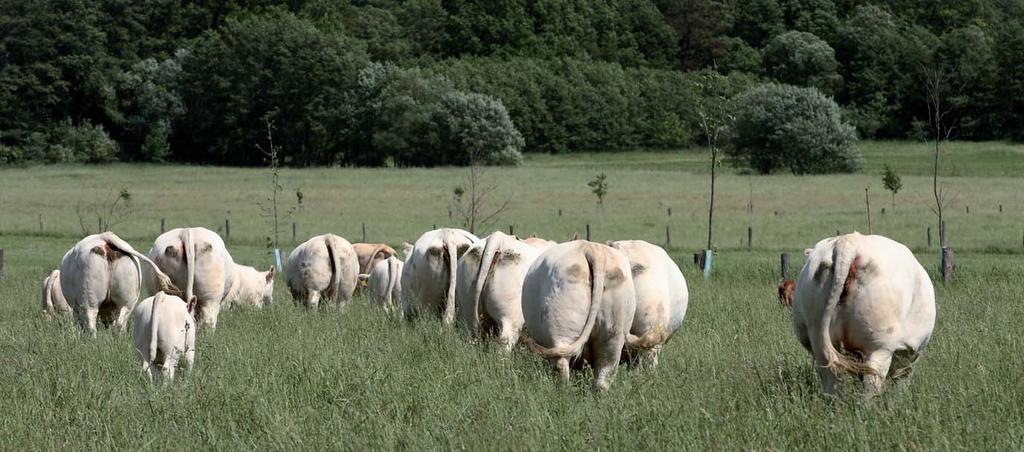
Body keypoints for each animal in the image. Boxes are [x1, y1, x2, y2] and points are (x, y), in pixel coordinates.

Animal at [524, 239, 659, 391]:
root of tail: (592, 249)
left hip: (561, 328)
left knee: (561, 364)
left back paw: (562, 391)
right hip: (613, 334)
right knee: (604, 373)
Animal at [790, 232, 937, 393]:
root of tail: (849, 242)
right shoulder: (910, 354)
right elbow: (902, 381)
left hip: (818, 338)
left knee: (831, 378)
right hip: (879, 346)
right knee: (871, 383)